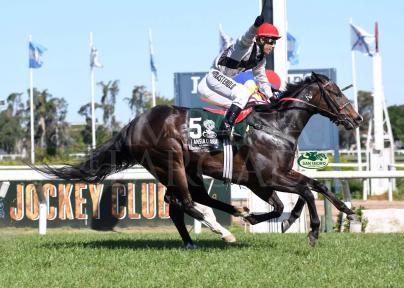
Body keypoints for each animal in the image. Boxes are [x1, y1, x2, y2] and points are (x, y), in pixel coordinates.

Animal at [35, 73, 362, 246]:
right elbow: (307, 189)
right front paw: (313, 229)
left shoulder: (262, 180)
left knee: (183, 201)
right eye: (335, 92)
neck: (275, 126)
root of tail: (134, 124)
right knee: (184, 201)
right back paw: (223, 232)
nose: (357, 118)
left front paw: (347, 211)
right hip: (171, 163)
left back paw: (205, 232)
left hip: (187, 169)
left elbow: (311, 188)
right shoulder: (270, 176)